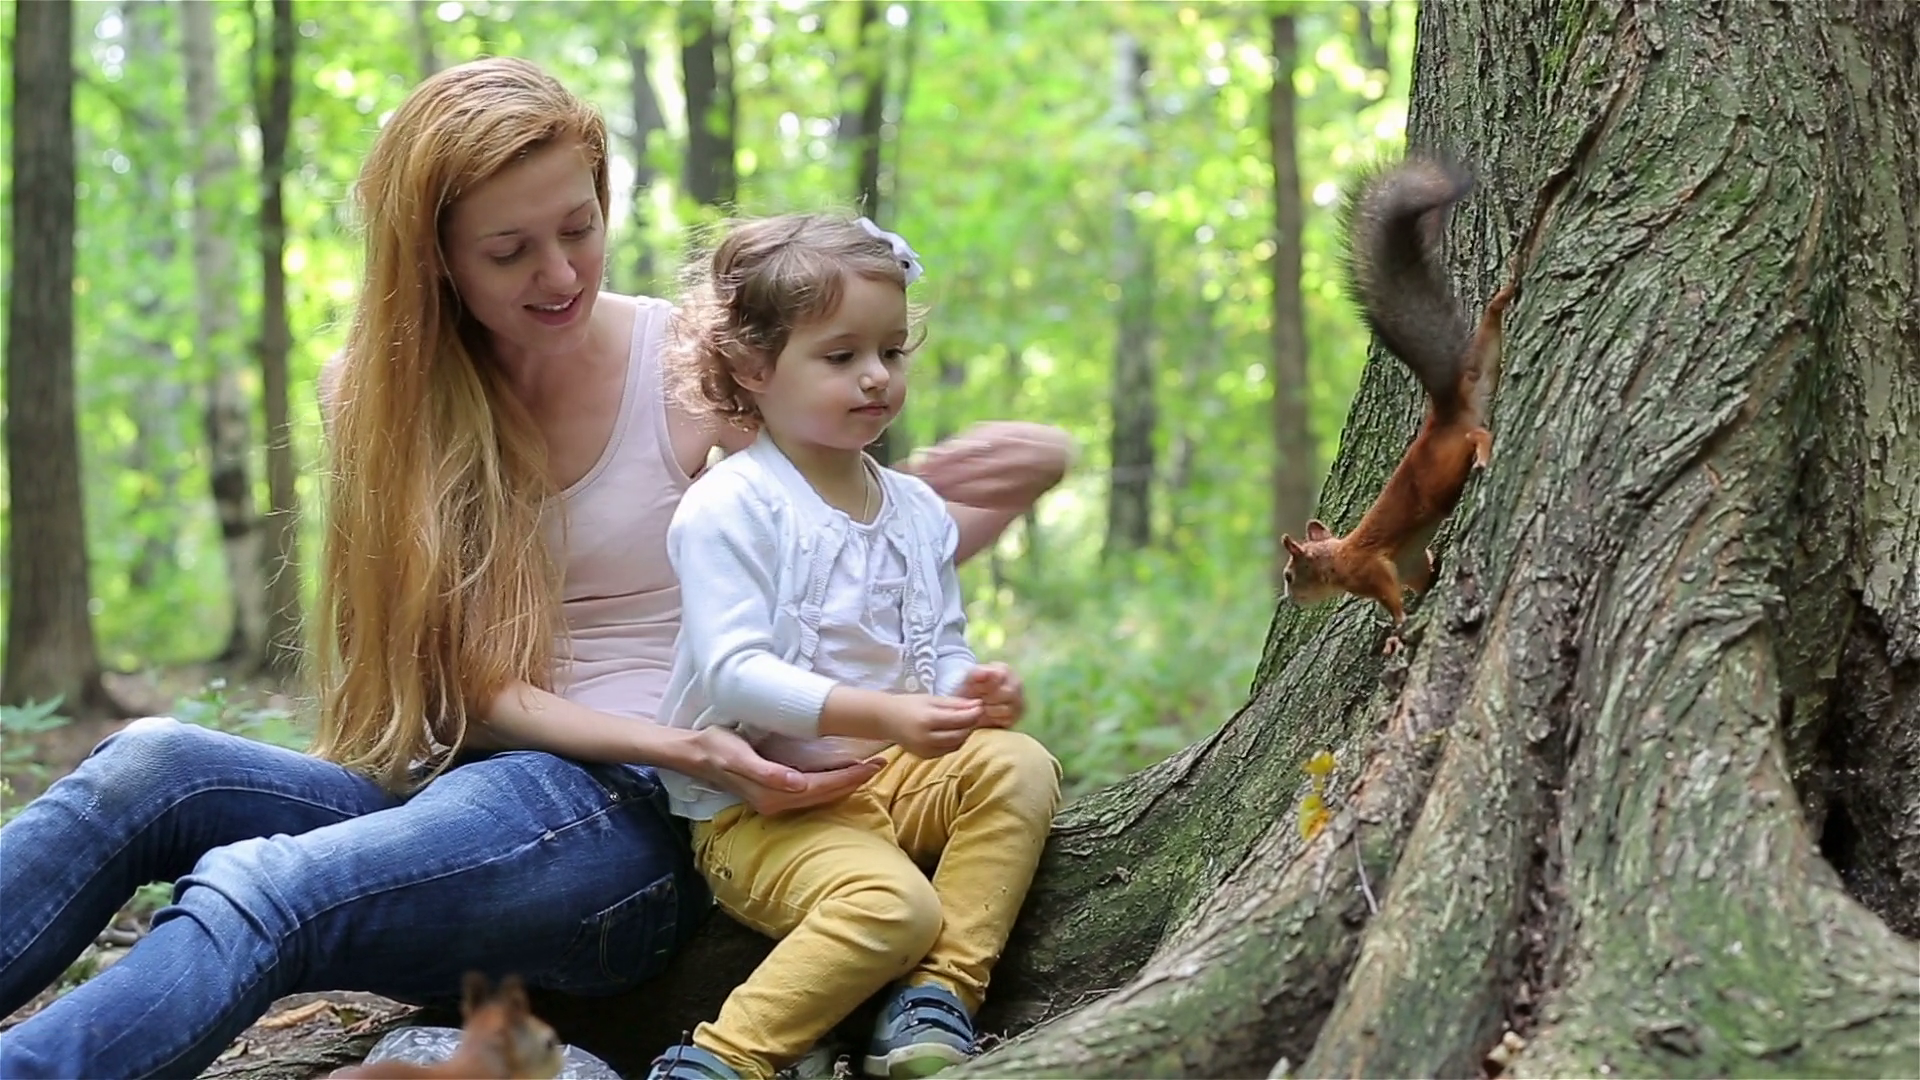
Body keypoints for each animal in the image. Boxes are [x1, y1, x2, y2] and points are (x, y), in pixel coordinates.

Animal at [1280, 155, 1518, 656]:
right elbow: (1421, 575)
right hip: (1483, 363)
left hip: (1443, 473)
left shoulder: (1371, 570)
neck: (1339, 555)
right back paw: (1507, 292)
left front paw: (1396, 630)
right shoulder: (1410, 563)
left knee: (1477, 435)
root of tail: (1444, 415)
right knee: (1490, 329)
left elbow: (1392, 600)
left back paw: (1484, 451)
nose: (1289, 599)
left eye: (1291, 574)